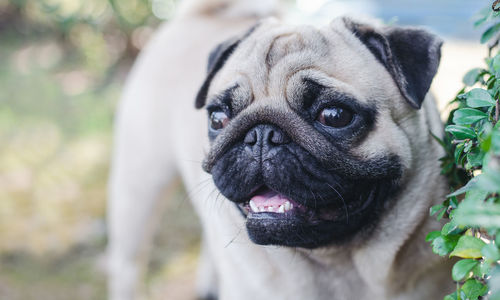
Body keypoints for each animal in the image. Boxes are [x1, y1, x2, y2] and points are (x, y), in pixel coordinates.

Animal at [108, 1, 454, 298]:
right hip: (138, 189)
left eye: (334, 115)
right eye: (218, 118)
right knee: (126, 266)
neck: (338, 263)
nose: (262, 135)